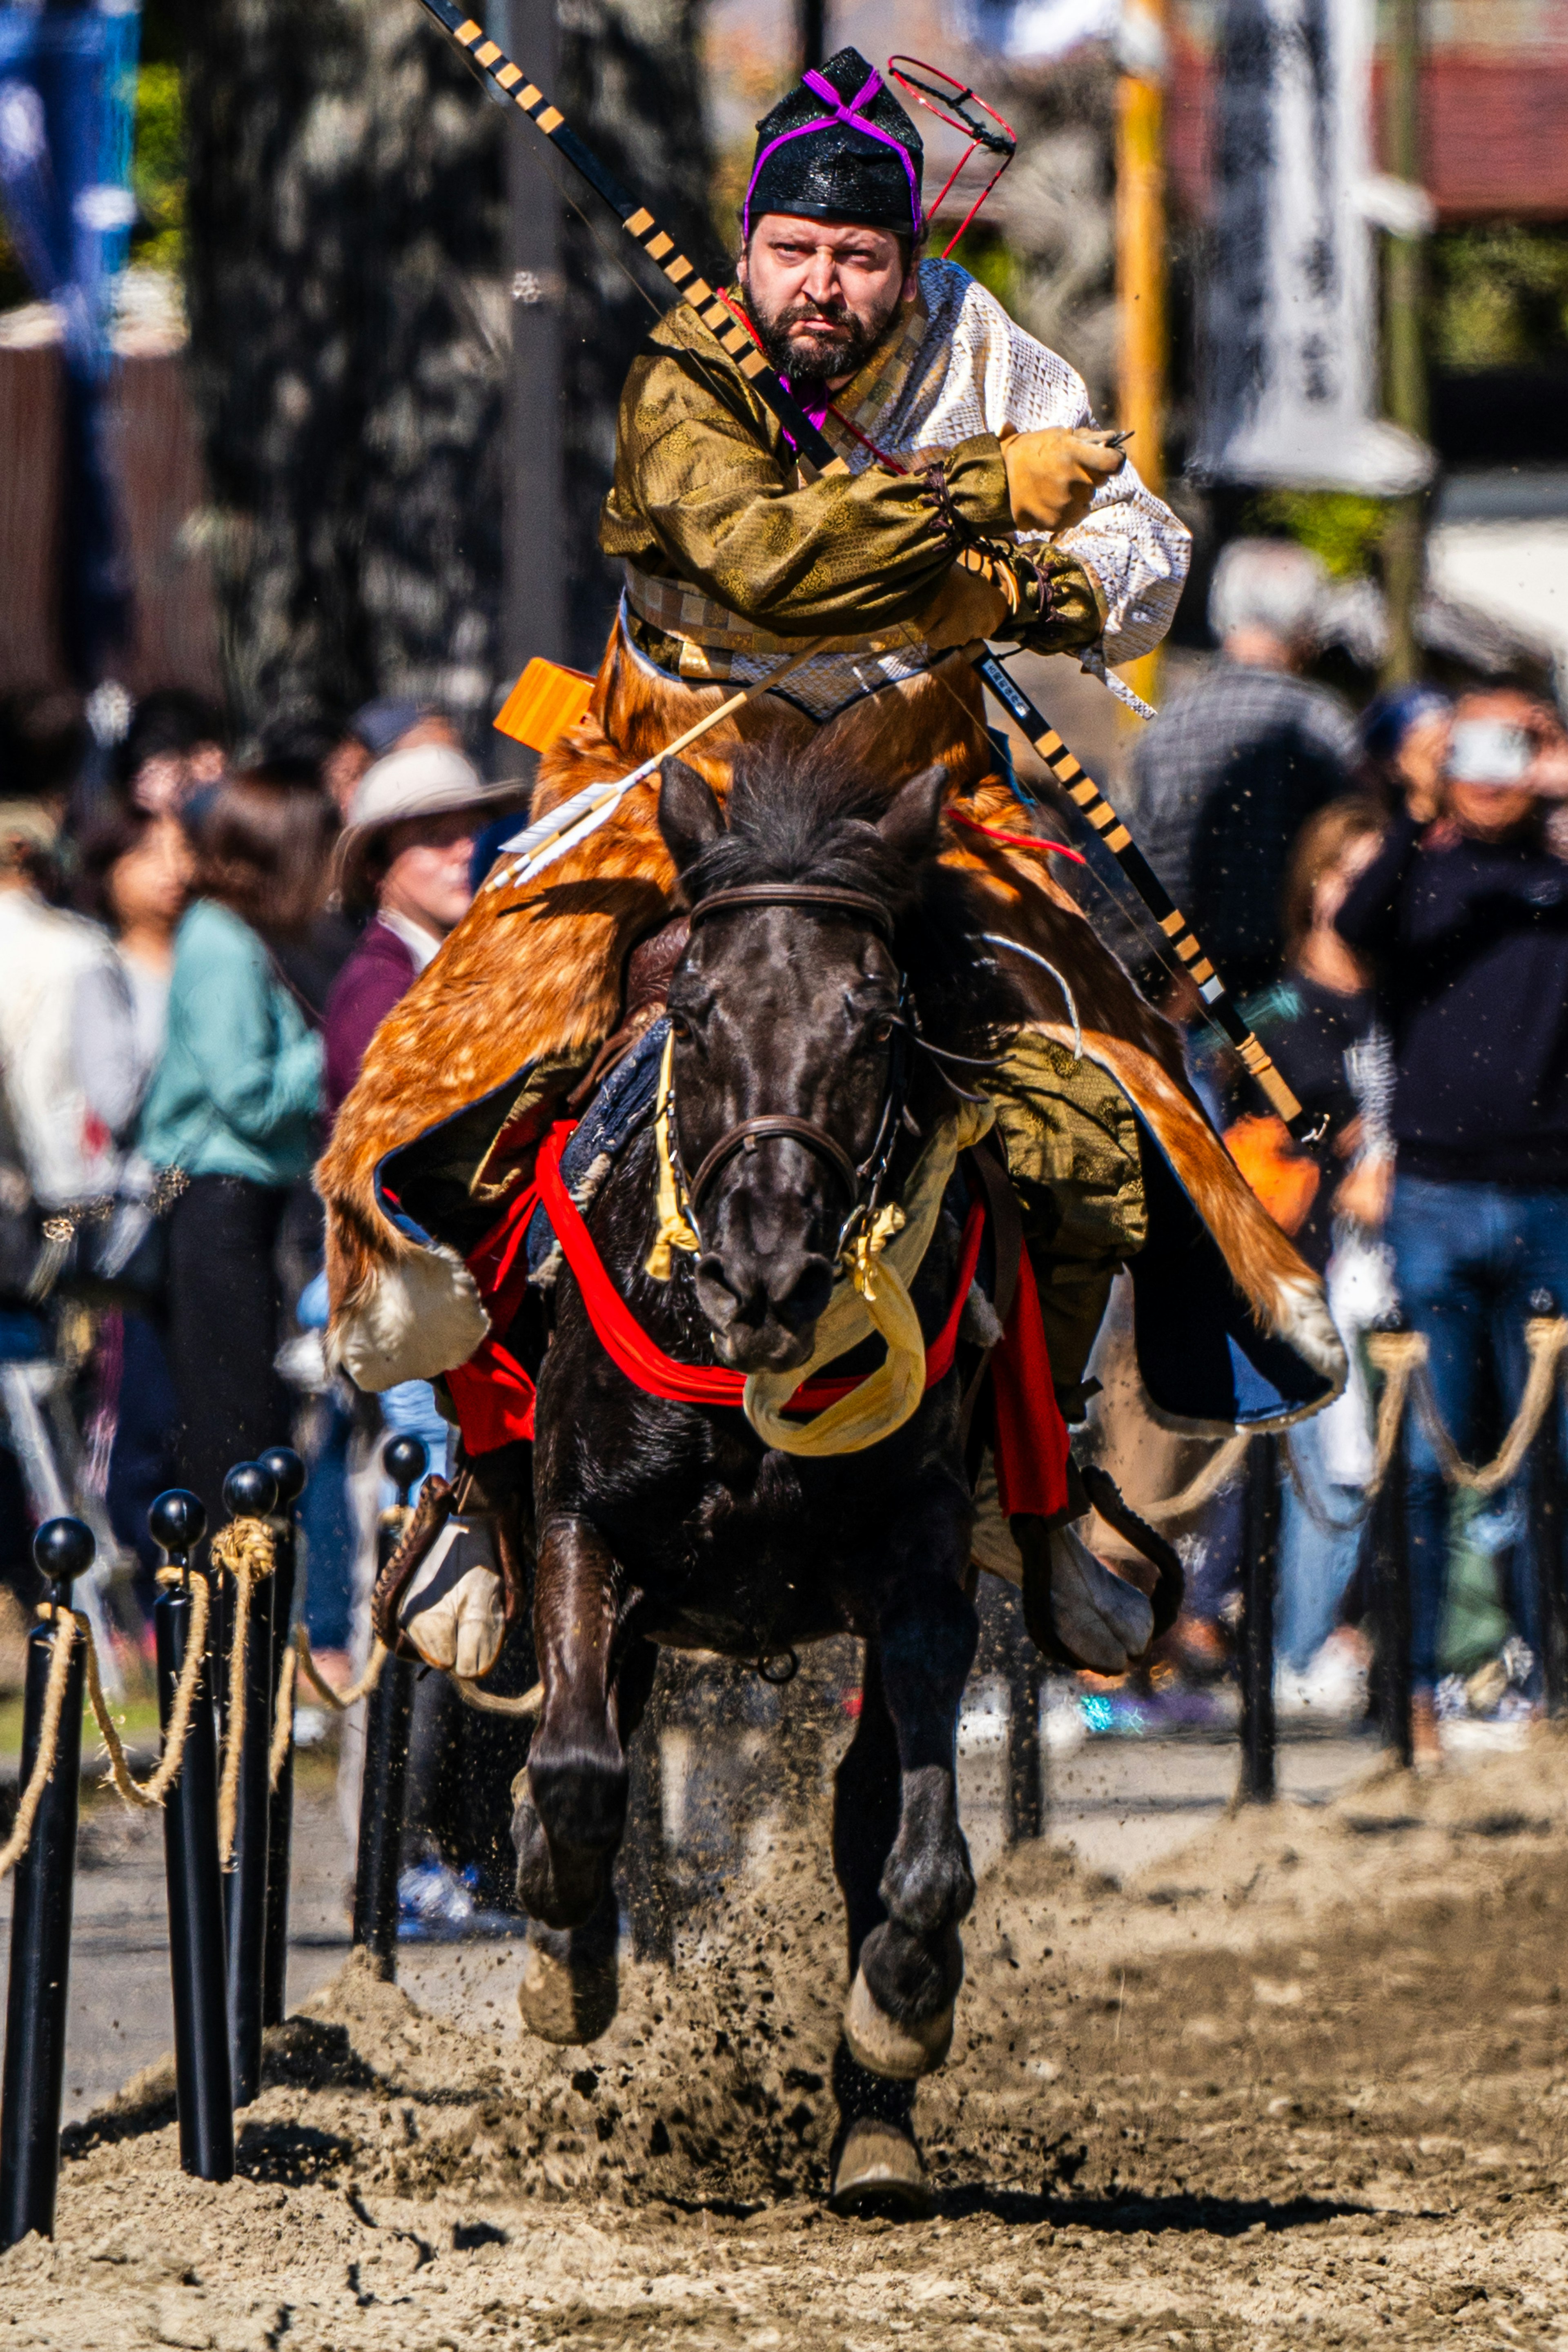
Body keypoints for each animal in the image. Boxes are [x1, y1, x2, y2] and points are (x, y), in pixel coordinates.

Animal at [510, 743, 1147, 2211]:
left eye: (873, 1025)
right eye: (694, 1012)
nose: (765, 1270)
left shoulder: (919, 1569)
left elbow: (919, 1850)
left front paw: (903, 2000)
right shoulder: (582, 1524)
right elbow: (576, 1767)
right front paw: (565, 1954)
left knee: (866, 1807)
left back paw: (876, 2132)